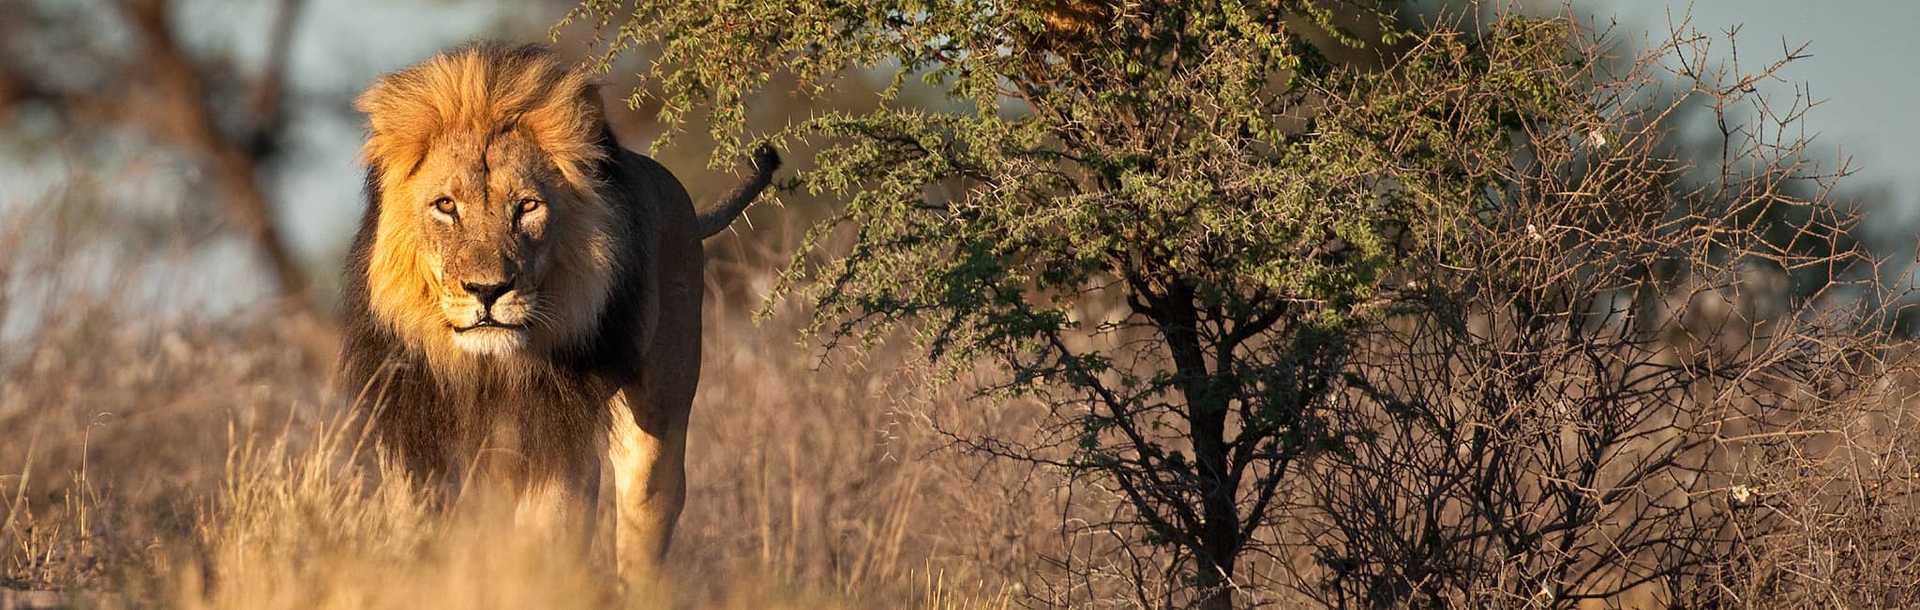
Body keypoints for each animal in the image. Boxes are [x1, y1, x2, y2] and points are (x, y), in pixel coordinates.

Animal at [339, 44, 779, 583]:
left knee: (644, 517)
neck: (485, 369)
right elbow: (423, 533)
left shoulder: (556, 440)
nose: (488, 290)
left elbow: (544, 540)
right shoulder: (416, 439)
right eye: (445, 205)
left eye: (527, 206)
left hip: (657, 418)